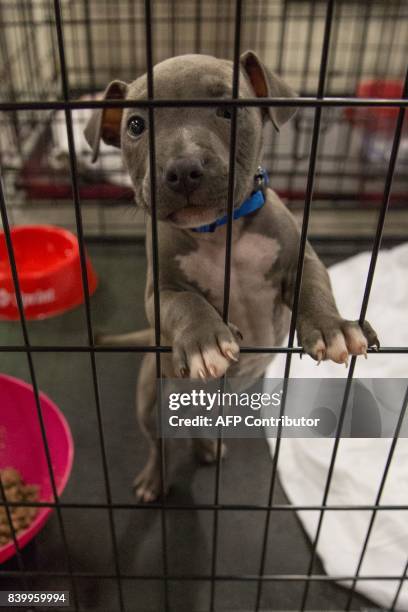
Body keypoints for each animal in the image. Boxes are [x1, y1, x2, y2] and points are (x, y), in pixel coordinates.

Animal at [83, 52, 380, 502]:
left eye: (229, 110)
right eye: (135, 125)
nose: (183, 169)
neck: (220, 230)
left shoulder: (299, 259)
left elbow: (315, 287)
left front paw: (333, 329)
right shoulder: (160, 292)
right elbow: (186, 302)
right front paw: (206, 341)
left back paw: (206, 446)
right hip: (150, 398)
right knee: (158, 443)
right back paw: (155, 478)